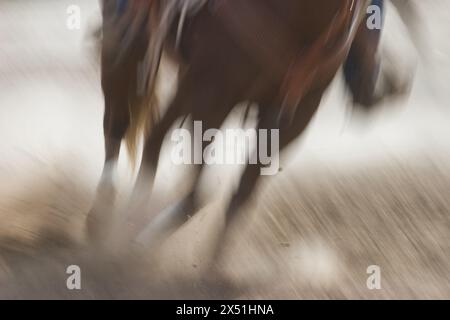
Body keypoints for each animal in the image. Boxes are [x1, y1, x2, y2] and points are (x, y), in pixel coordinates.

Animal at [89, 0, 400, 255]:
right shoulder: (214, 89)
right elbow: (198, 195)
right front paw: (141, 241)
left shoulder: (297, 114)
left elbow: (241, 194)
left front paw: (211, 270)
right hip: (131, 48)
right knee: (118, 124)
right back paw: (102, 216)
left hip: (187, 82)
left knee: (155, 133)